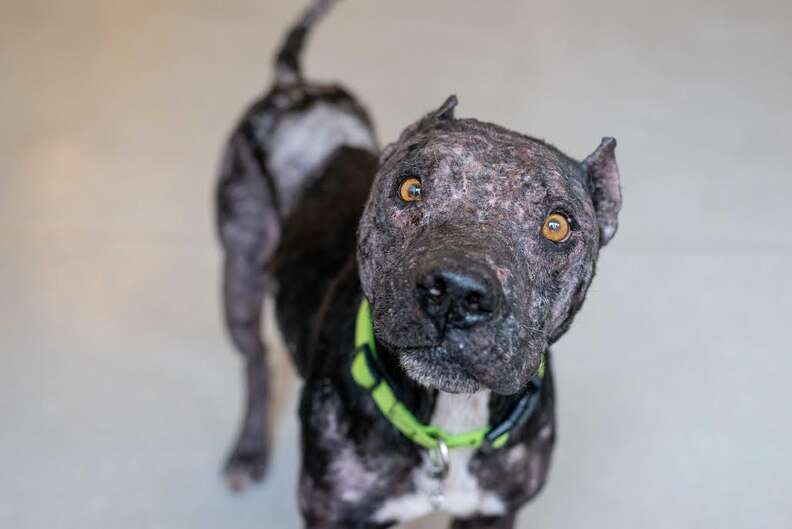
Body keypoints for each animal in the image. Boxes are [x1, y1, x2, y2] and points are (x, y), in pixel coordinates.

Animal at [215, 2, 620, 524]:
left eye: (557, 225)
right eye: (410, 188)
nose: (457, 292)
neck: (448, 427)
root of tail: (295, 86)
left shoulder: (496, 512)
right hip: (239, 275)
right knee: (257, 362)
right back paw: (248, 453)